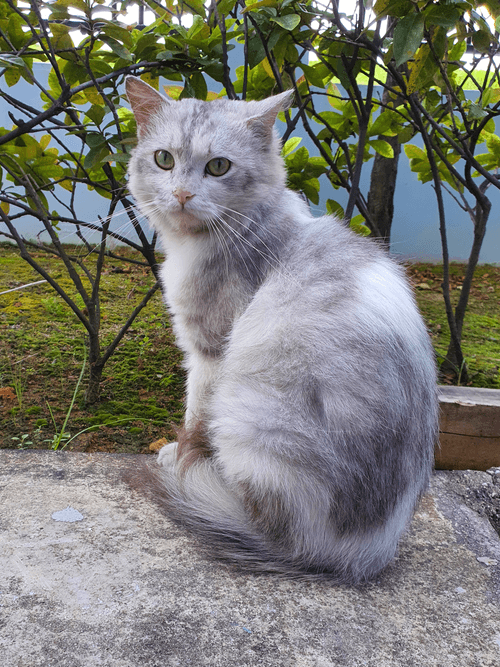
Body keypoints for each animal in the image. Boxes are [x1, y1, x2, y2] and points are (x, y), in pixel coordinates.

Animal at [125, 75, 438, 580]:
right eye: (164, 159)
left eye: (218, 166)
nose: (182, 195)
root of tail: (355, 554)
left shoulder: (210, 350)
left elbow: (195, 411)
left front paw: (181, 453)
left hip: (251, 411)